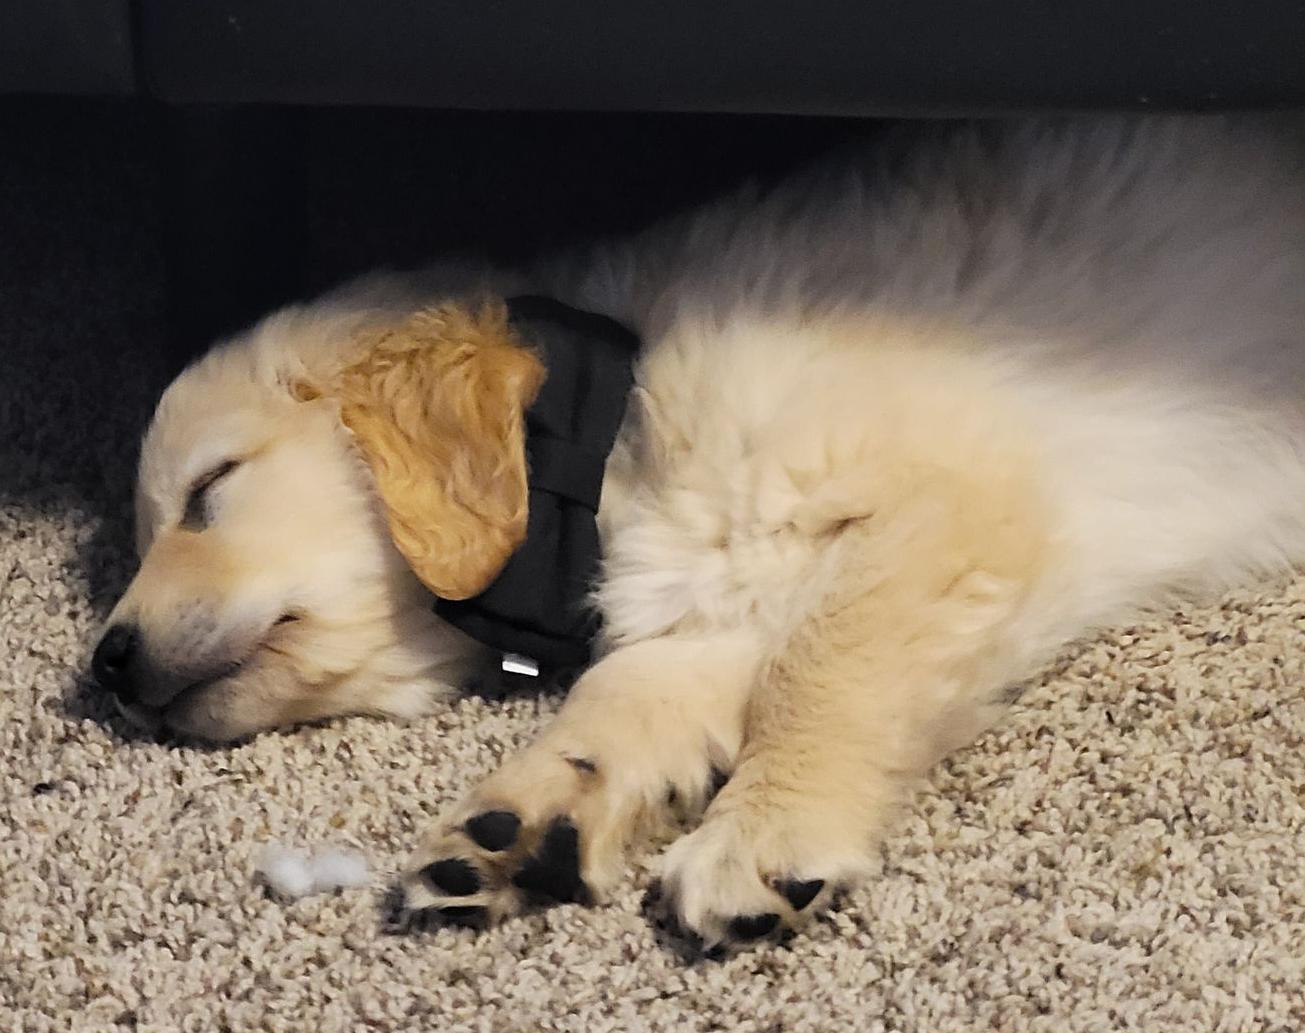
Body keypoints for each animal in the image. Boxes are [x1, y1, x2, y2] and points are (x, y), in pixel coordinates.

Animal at [94, 116, 1305, 954]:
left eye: (210, 488)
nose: (105, 664)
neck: (616, 430)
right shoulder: (726, 590)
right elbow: (629, 689)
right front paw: (528, 818)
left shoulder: (943, 509)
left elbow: (822, 671)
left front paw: (764, 832)